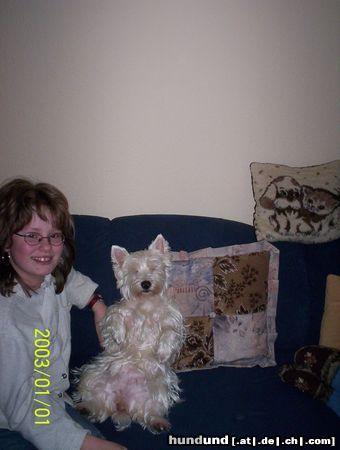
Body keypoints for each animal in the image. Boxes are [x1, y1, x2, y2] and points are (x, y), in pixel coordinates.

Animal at [74, 234, 185, 434]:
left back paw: (158, 422)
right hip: (94, 374)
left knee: (149, 410)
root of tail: (122, 403)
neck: (146, 302)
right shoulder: (115, 315)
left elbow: (170, 333)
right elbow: (115, 319)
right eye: (134, 272)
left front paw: (163, 352)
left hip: (160, 387)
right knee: (96, 400)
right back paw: (86, 407)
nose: (146, 283)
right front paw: (119, 335)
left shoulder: (172, 320)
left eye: (153, 268)